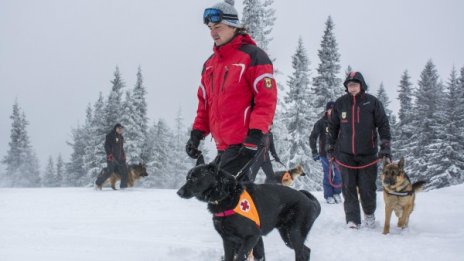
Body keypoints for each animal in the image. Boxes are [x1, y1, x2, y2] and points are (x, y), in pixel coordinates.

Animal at [176, 164, 320, 258]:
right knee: (306, 251)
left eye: (194, 178)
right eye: (187, 178)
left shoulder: (252, 237)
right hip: (287, 236)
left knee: (301, 252)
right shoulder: (228, 241)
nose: (179, 192)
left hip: (293, 234)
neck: (227, 196)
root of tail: (310, 202)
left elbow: (240, 257)